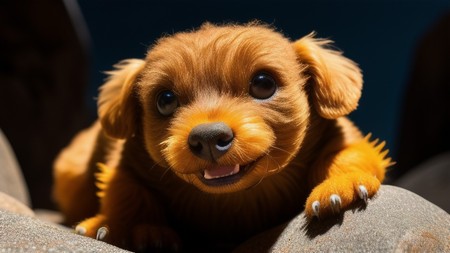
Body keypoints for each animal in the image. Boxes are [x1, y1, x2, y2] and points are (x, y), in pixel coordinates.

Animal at [51, 22, 390, 251]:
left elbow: (346, 154)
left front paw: (340, 183)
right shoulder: (124, 163)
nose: (208, 138)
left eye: (263, 84)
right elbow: (127, 192)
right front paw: (129, 227)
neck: (233, 200)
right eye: (165, 100)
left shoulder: (345, 137)